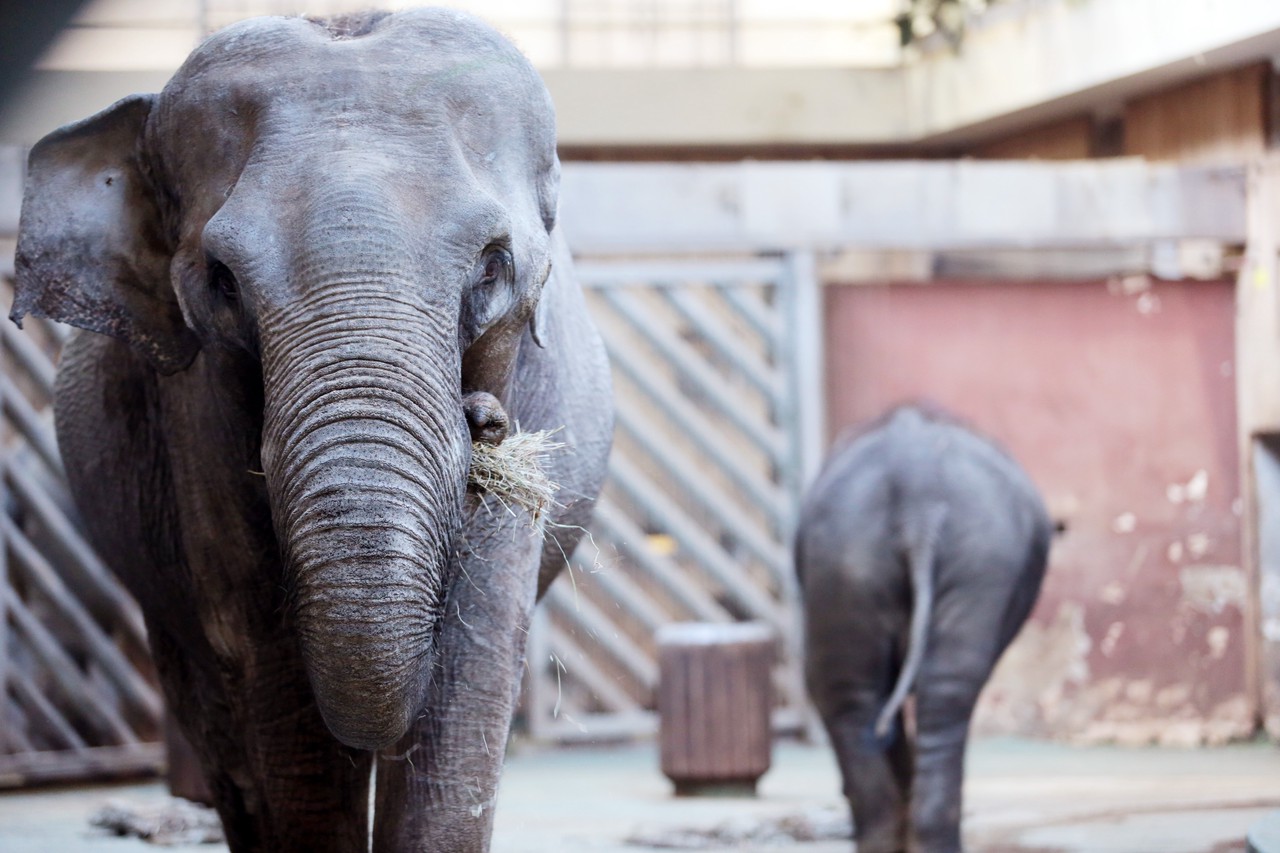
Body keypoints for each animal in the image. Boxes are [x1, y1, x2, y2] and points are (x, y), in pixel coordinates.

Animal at [8, 8, 609, 850]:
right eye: (222, 280)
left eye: (493, 265)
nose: (482, 418)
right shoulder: (198, 426)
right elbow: (279, 669)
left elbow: (469, 664)